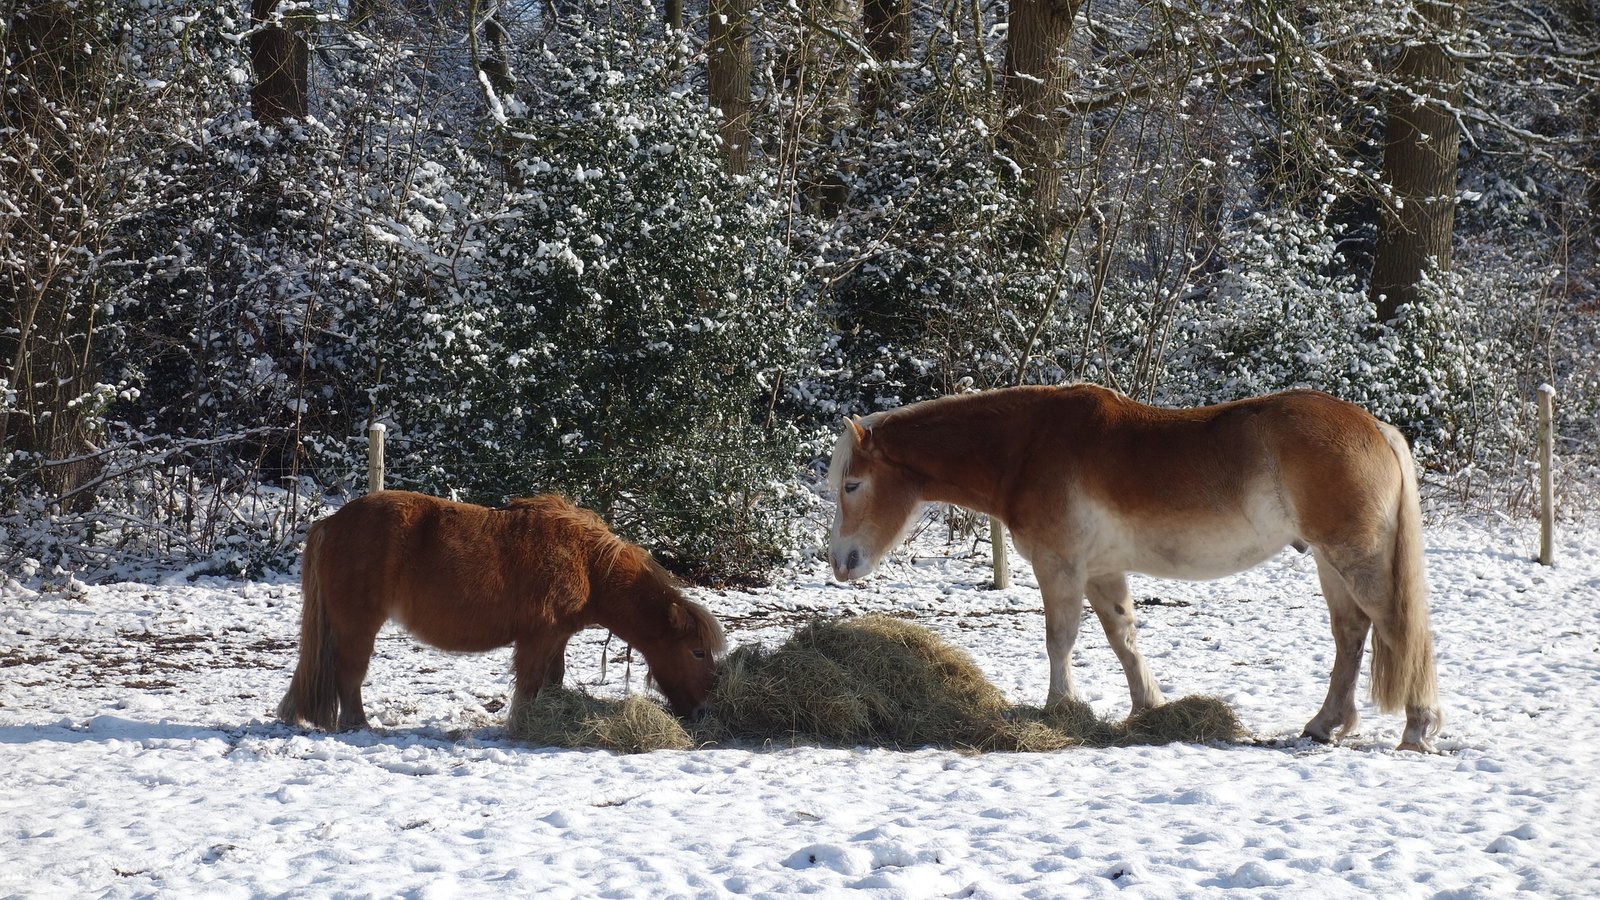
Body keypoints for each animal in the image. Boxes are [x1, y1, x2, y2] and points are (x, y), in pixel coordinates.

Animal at [277, 490, 724, 731]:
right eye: (698, 652)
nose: (706, 710)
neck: (587, 563)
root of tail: (331, 523)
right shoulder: (538, 637)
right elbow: (529, 684)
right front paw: (522, 725)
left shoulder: (557, 638)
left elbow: (552, 680)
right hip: (358, 627)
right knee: (349, 674)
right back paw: (359, 725)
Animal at [826, 384, 1442, 752]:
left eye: (852, 484)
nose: (839, 562)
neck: (1027, 448)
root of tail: (1375, 428)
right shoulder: (1102, 572)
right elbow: (1123, 638)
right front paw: (1149, 707)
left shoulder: (1060, 567)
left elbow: (1059, 639)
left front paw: (1059, 709)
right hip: (1327, 563)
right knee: (1351, 634)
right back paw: (1325, 725)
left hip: (1352, 558)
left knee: (1395, 630)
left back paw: (1415, 729)